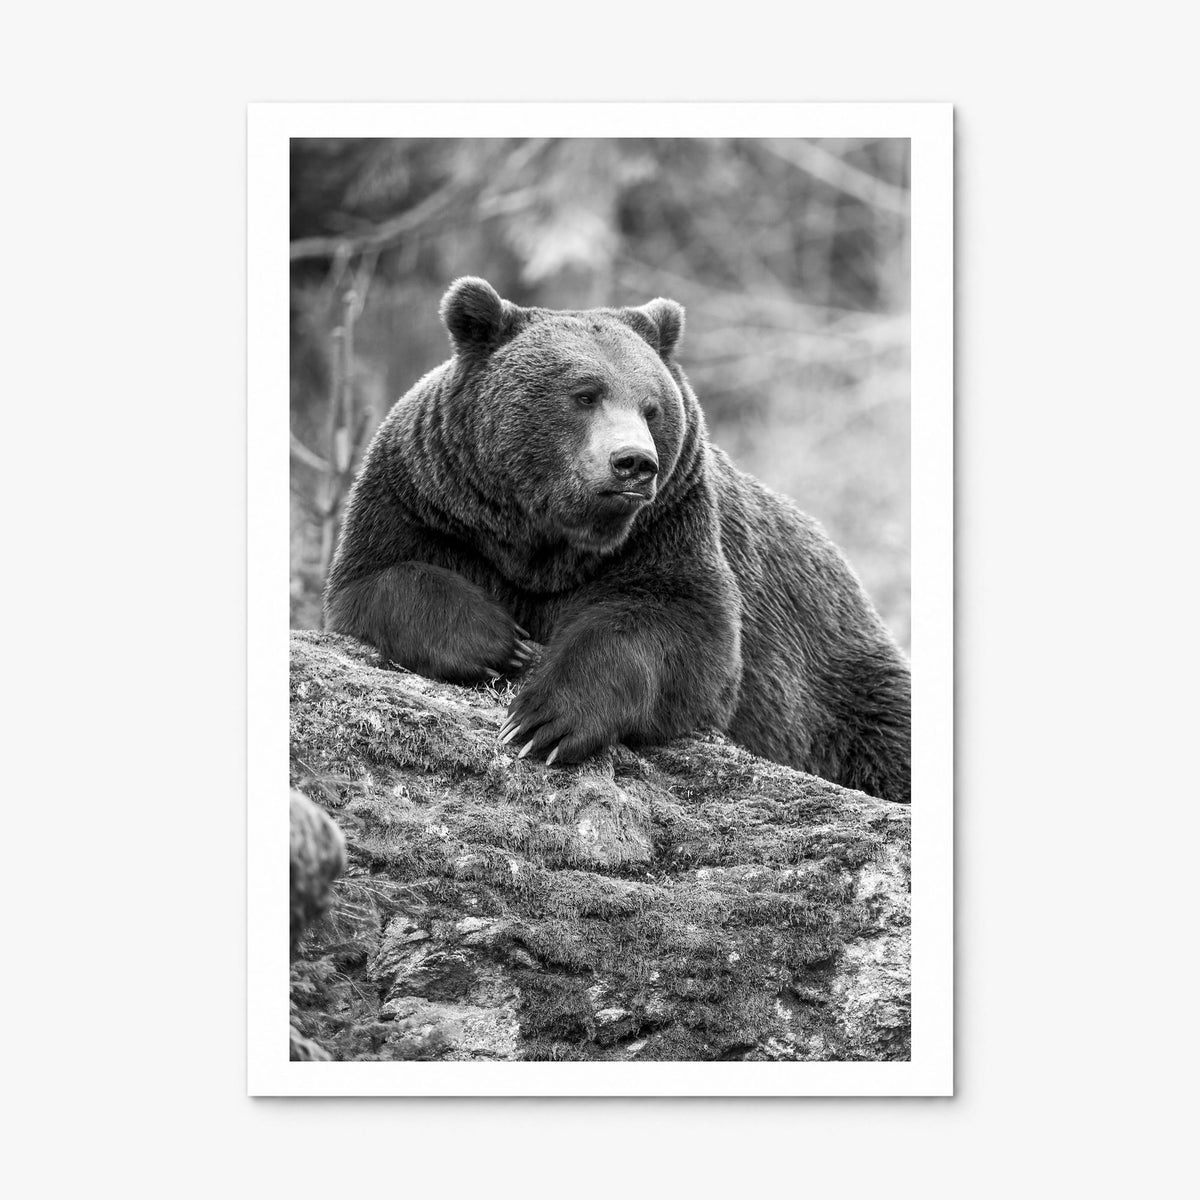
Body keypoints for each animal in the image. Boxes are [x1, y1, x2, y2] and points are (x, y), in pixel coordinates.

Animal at [324, 277, 911, 803]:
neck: (545, 541)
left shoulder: (667, 528)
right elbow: (379, 579)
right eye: (584, 394)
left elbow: (678, 630)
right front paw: (500, 641)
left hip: (838, 680)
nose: (634, 462)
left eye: (652, 406)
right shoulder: (425, 501)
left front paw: (544, 720)